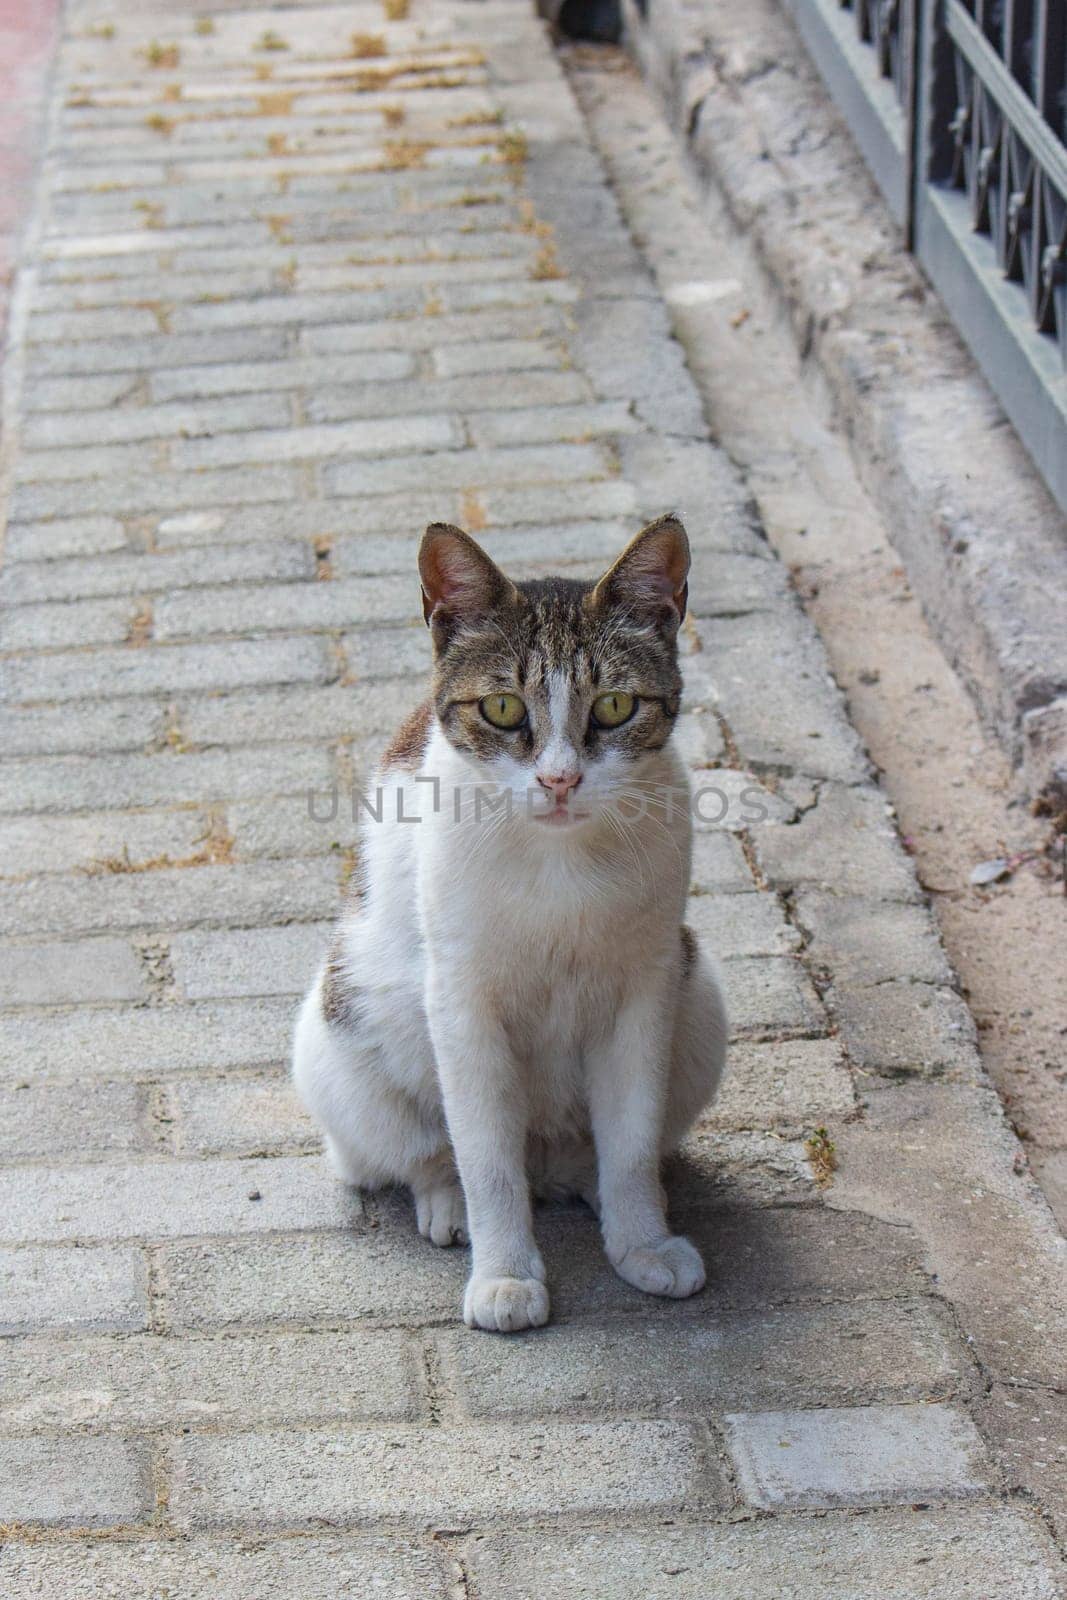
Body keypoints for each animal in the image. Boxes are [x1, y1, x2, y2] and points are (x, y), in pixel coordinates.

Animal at [289, 512, 726, 1324]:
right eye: (502, 709)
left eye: (614, 707)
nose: (558, 780)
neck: (559, 864)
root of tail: (545, 1163)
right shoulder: (463, 1002)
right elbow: (485, 1157)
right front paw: (506, 1275)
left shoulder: (646, 987)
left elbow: (631, 1140)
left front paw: (643, 1241)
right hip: (340, 1030)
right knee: (428, 1152)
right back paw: (450, 1204)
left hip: (700, 993)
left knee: (606, 1149)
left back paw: (595, 1188)